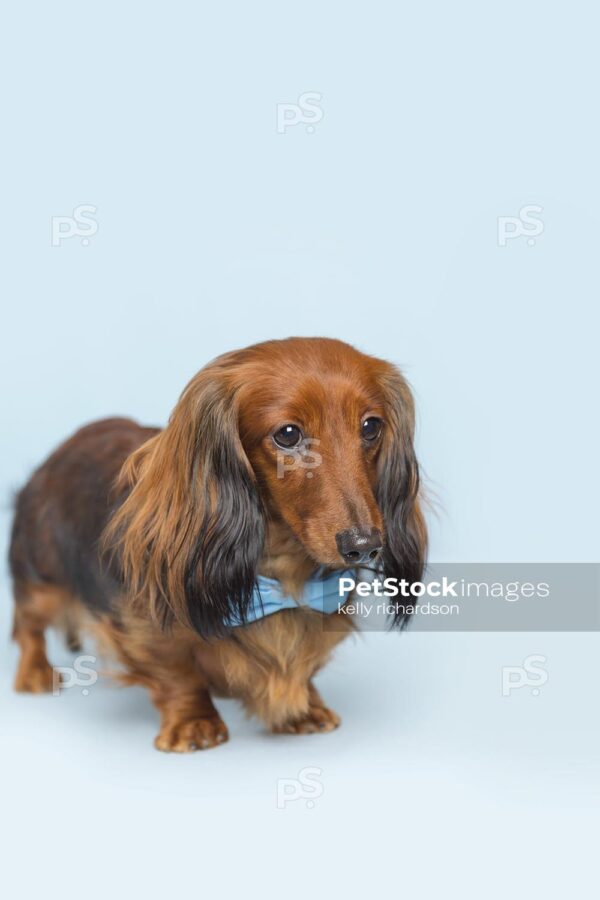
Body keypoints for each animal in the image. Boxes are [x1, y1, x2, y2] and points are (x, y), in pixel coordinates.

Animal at [9, 334, 426, 748]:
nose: (364, 545)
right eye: (288, 434)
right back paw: (35, 673)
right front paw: (194, 722)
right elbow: (177, 675)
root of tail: (66, 446)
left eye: (371, 427)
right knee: (27, 625)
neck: (282, 574)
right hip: (41, 577)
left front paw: (305, 708)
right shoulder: (146, 631)